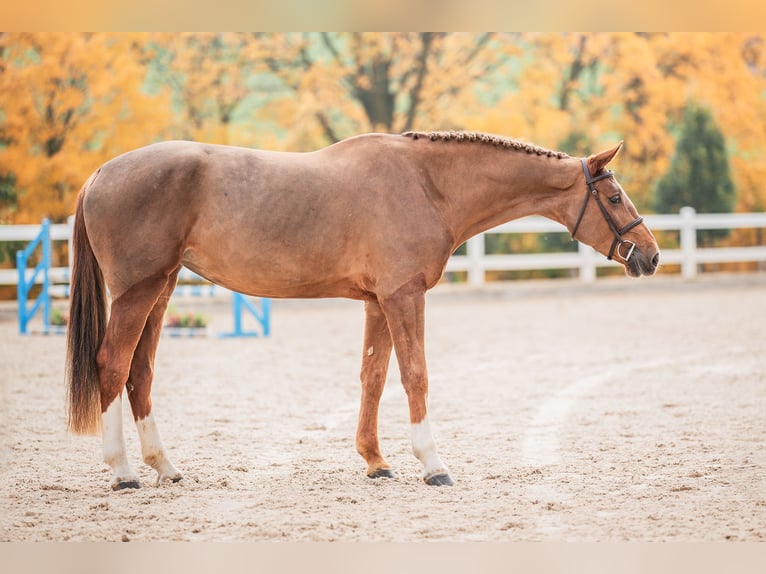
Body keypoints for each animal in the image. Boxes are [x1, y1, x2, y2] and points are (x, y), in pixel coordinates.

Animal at [66, 130, 660, 490]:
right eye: (613, 199)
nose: (651, 255)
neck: (427, 185)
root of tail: (98, 173)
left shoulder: (378, 302)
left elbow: (373, 376)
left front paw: (376, 461)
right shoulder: (403, 296)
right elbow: (415, 375)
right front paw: (433, 464)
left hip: (161, 290)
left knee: (140, 373)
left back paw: (165, 467)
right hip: (137, 292)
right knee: (112, 366)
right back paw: (122, 471)